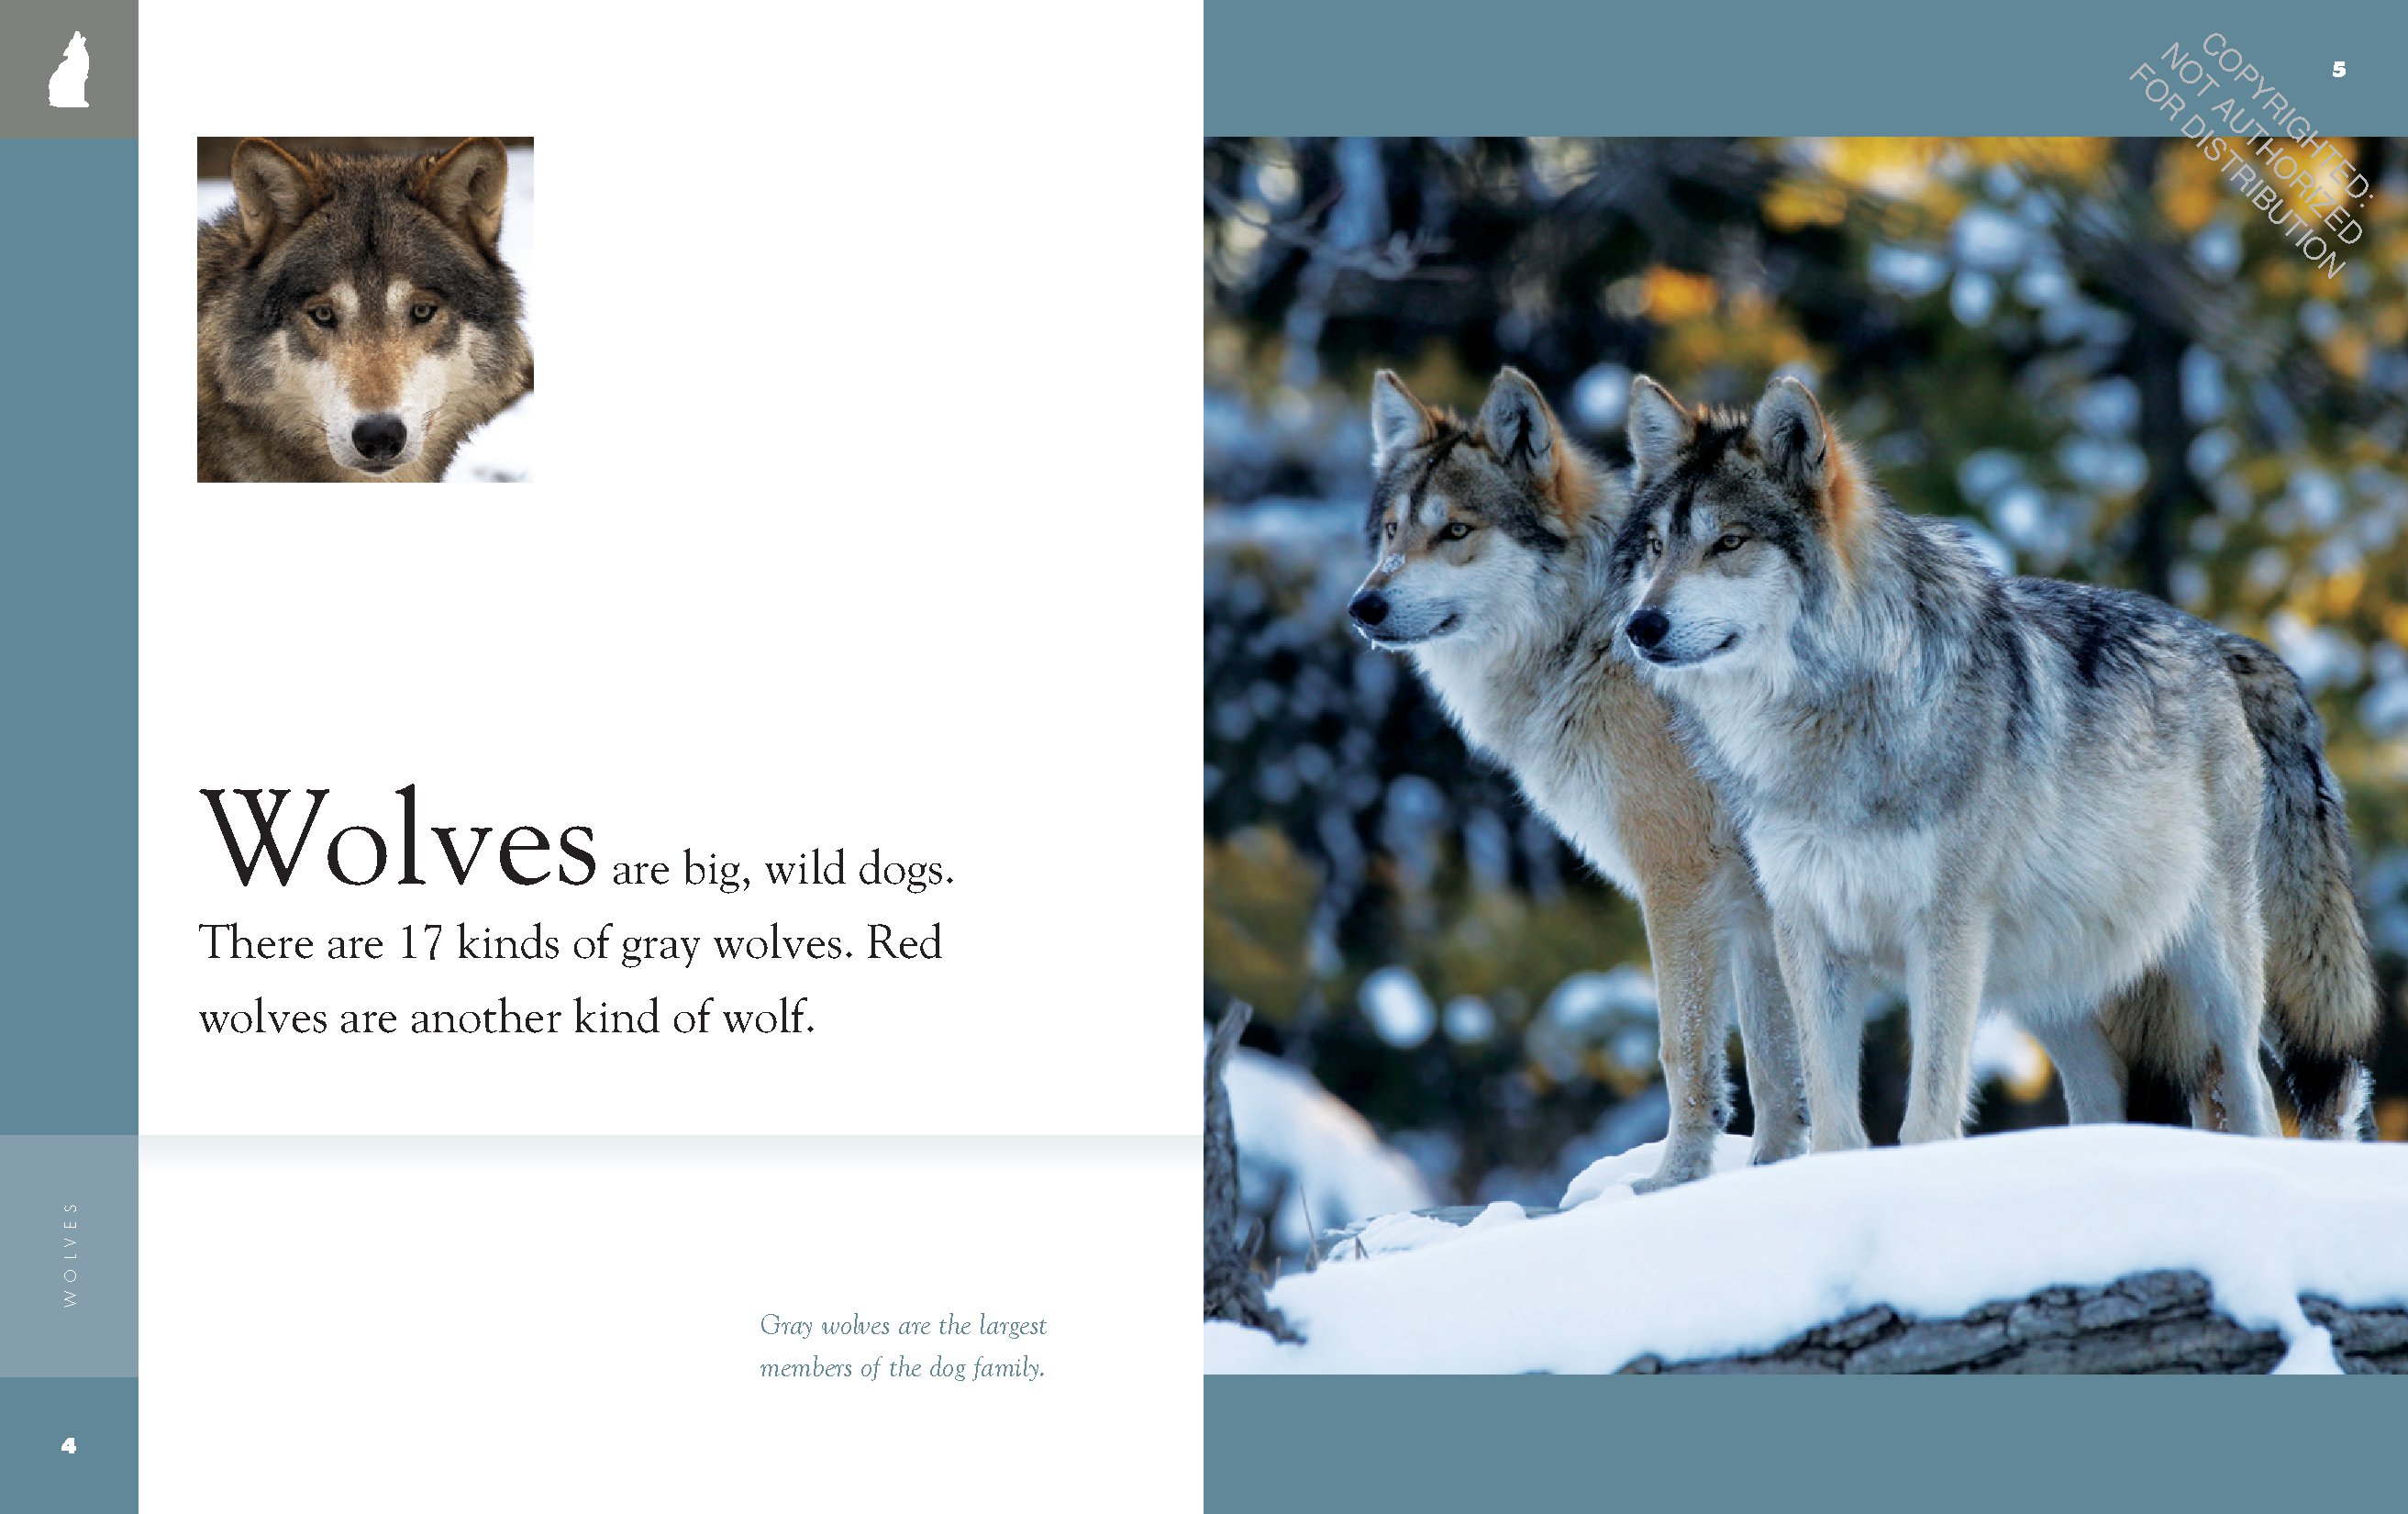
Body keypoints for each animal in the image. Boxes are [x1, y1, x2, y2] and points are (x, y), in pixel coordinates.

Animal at [1346, 369, 1809, 1191]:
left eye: (1455, 531)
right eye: (1392, 532)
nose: (1362, 606)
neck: (1586, 640)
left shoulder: (1680, 882)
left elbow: (1682, 1050)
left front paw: (1671, 1182)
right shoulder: (1755, 905)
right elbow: (1775, 1068)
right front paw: (1769, 1175)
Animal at [1613, 374, 2377, 1146]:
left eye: (1728, 542)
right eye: (1654, 546)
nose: (1639, 626)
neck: (1827, 722)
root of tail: (2218, 642)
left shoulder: (1944, 930)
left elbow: (1926, 1116)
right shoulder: (1808, 930)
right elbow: (1832, 1123)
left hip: (2211, 960)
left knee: (2252, 1093)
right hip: (2052, 988)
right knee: (2103, 1102)